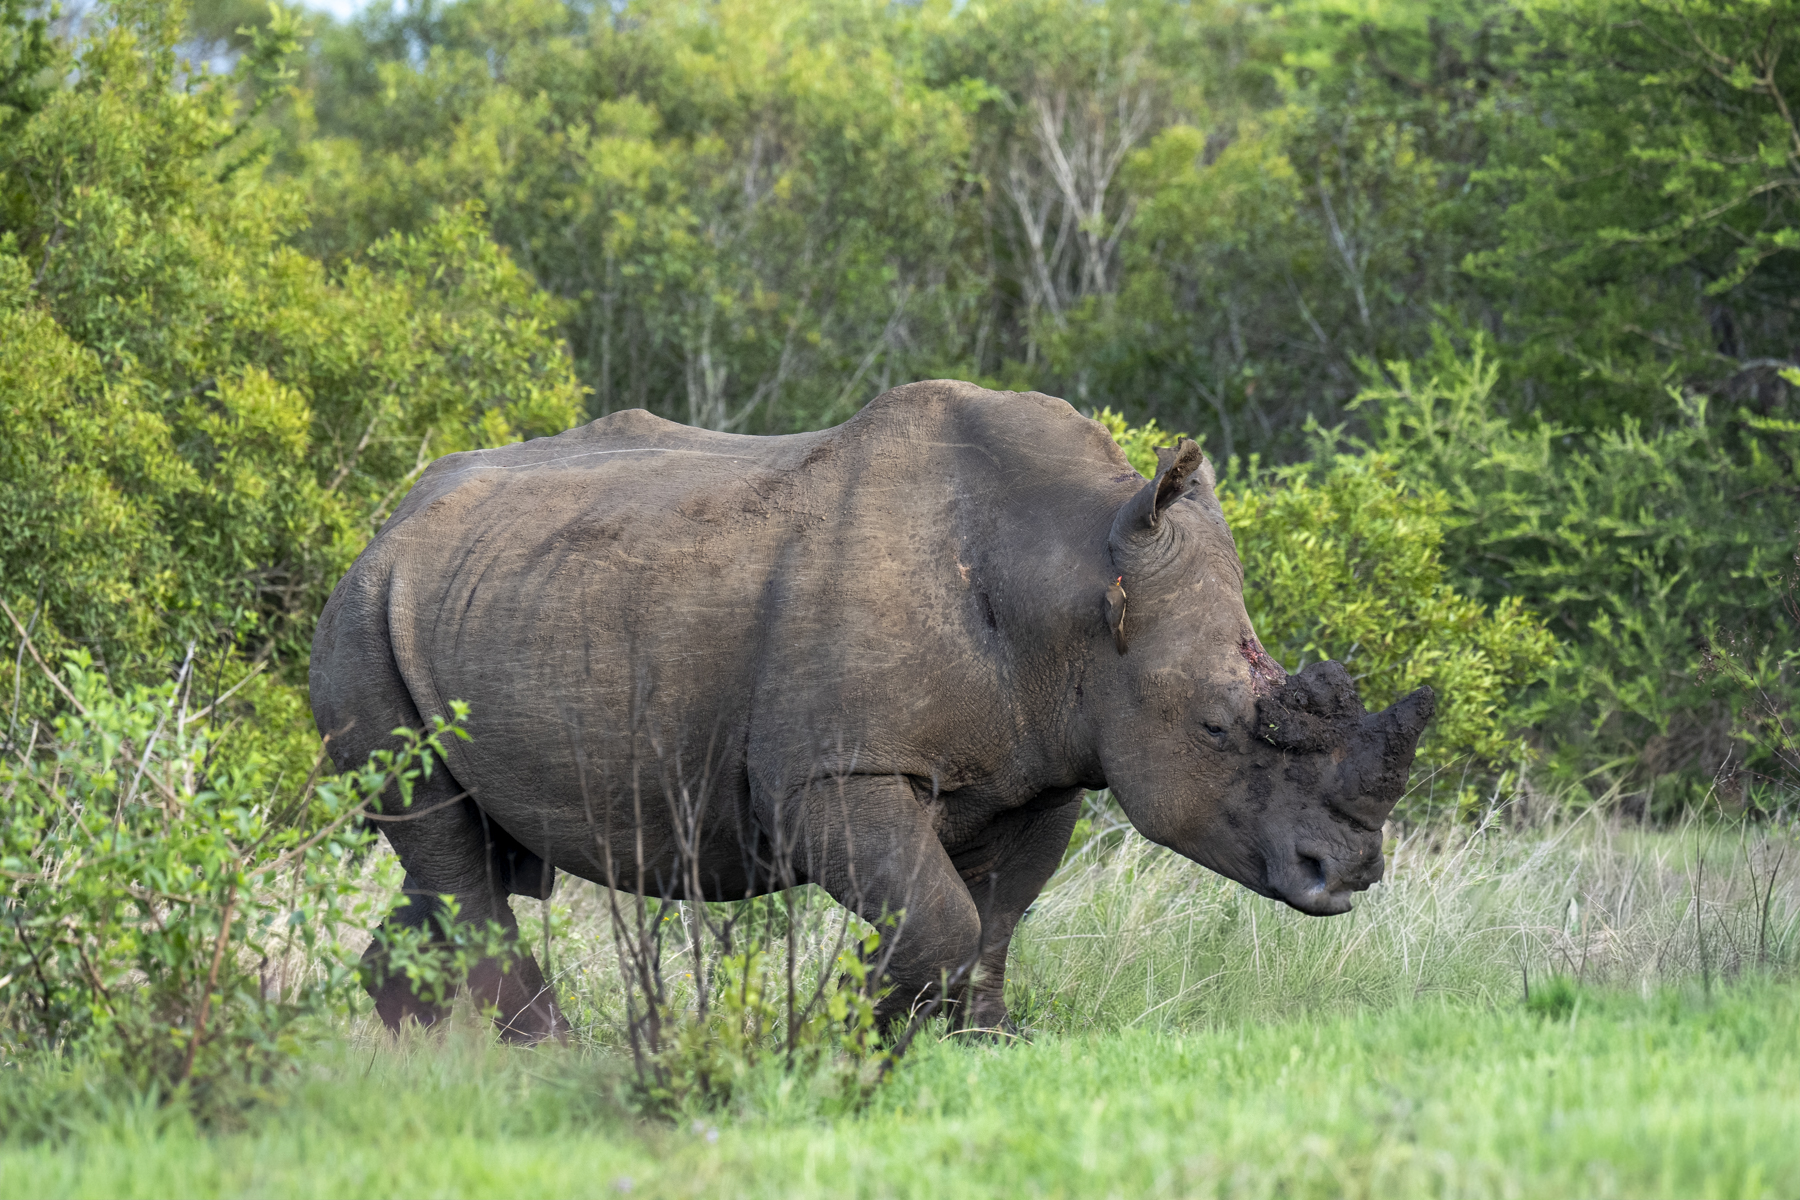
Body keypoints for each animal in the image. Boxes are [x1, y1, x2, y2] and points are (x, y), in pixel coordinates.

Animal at [310, 380, 1433, 1041]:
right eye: (1214, 728)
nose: (1348, 871)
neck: (1074, 578)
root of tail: (386, 522)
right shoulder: (833, 772)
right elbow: (938, 916)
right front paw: (835, 1030)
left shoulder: (1045, 767)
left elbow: (995, 917)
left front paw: (981, 1040)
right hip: (366, 616)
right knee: (446, 841)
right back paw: (543, 1047)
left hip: (480, 596)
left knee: (469, 856)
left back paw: (408, 1046)